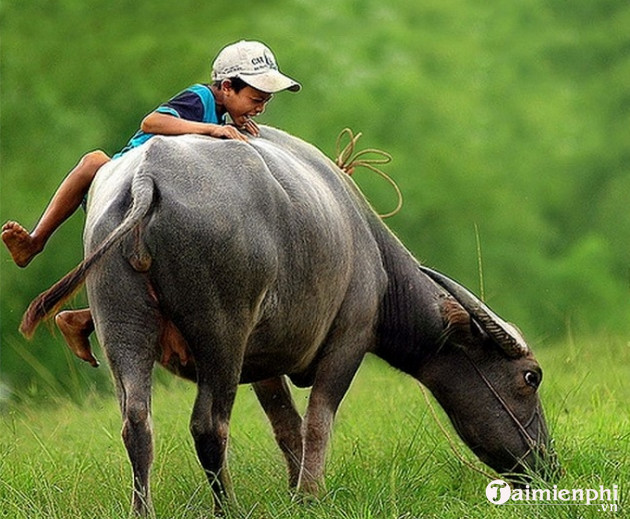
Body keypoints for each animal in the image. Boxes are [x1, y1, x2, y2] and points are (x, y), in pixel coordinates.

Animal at [21, 126, 556, 516]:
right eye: (530, 377)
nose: (546, 465)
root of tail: (147, 178)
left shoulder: (263, 361)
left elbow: (287, 426)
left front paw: (297, 485)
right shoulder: (349, 339)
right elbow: (318, 420)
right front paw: (310, 494)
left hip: (123, 326)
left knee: (137, 422)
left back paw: (142, 509)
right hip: (221, 332)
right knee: (209, 425)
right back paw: (229, 509)